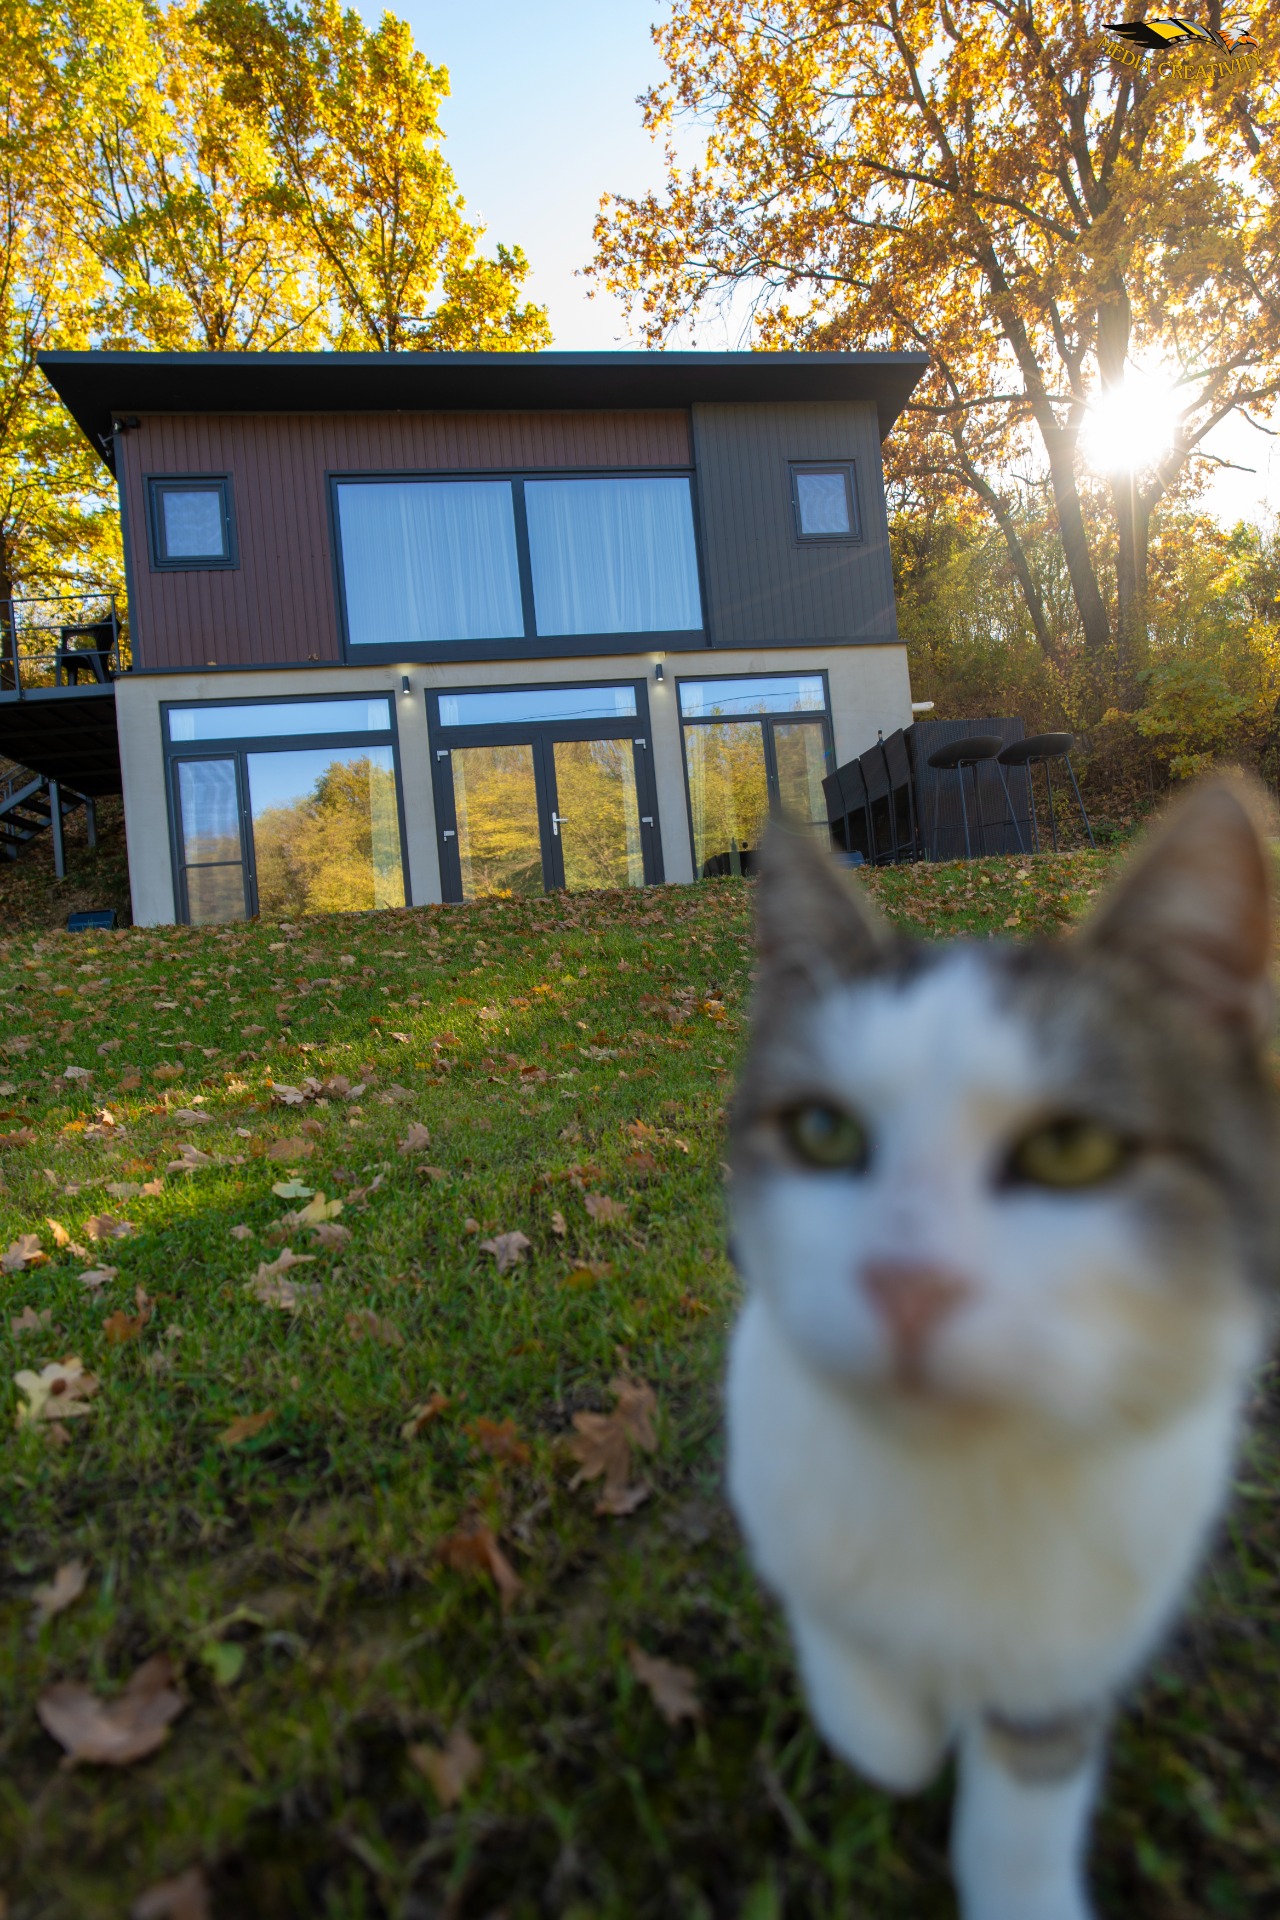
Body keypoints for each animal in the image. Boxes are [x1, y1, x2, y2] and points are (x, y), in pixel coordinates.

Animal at [725, 778, 1279, 1920]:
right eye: (822, 1134)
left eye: (1070, 1151)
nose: (907, 1282)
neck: (959, 1477)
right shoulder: (776, 1479)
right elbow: (858, 1677)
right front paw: (901, 1723)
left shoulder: (1080, 1642)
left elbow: (1025, 1795)